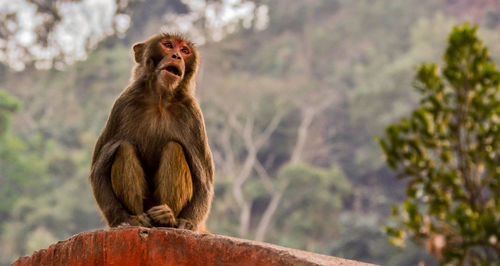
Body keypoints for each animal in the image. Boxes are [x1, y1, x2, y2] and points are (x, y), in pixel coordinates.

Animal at [89, 32, 214, 231]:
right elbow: (99, 169)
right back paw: (138, 218)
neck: (160, 99)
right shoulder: (123, 105)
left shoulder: (192, 114)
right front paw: (123, 219)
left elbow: (203, 179)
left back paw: (165, 217)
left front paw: (187, 222)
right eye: (168, 45)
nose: (177, 56)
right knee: (124, 148)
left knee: (173, 148)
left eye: (185, 51)